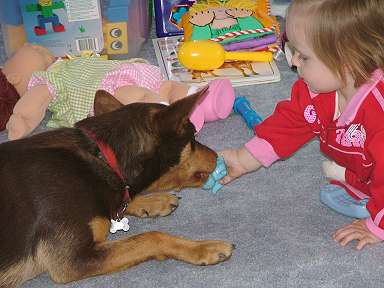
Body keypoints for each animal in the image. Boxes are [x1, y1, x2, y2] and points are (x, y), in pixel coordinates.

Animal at [0, 89, 234, 286]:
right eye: (193, 137)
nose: (217, 155)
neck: (103, 160)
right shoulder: (72, 261)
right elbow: (150, 237)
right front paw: (204, 247)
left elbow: (125, 200)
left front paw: (154, 201)